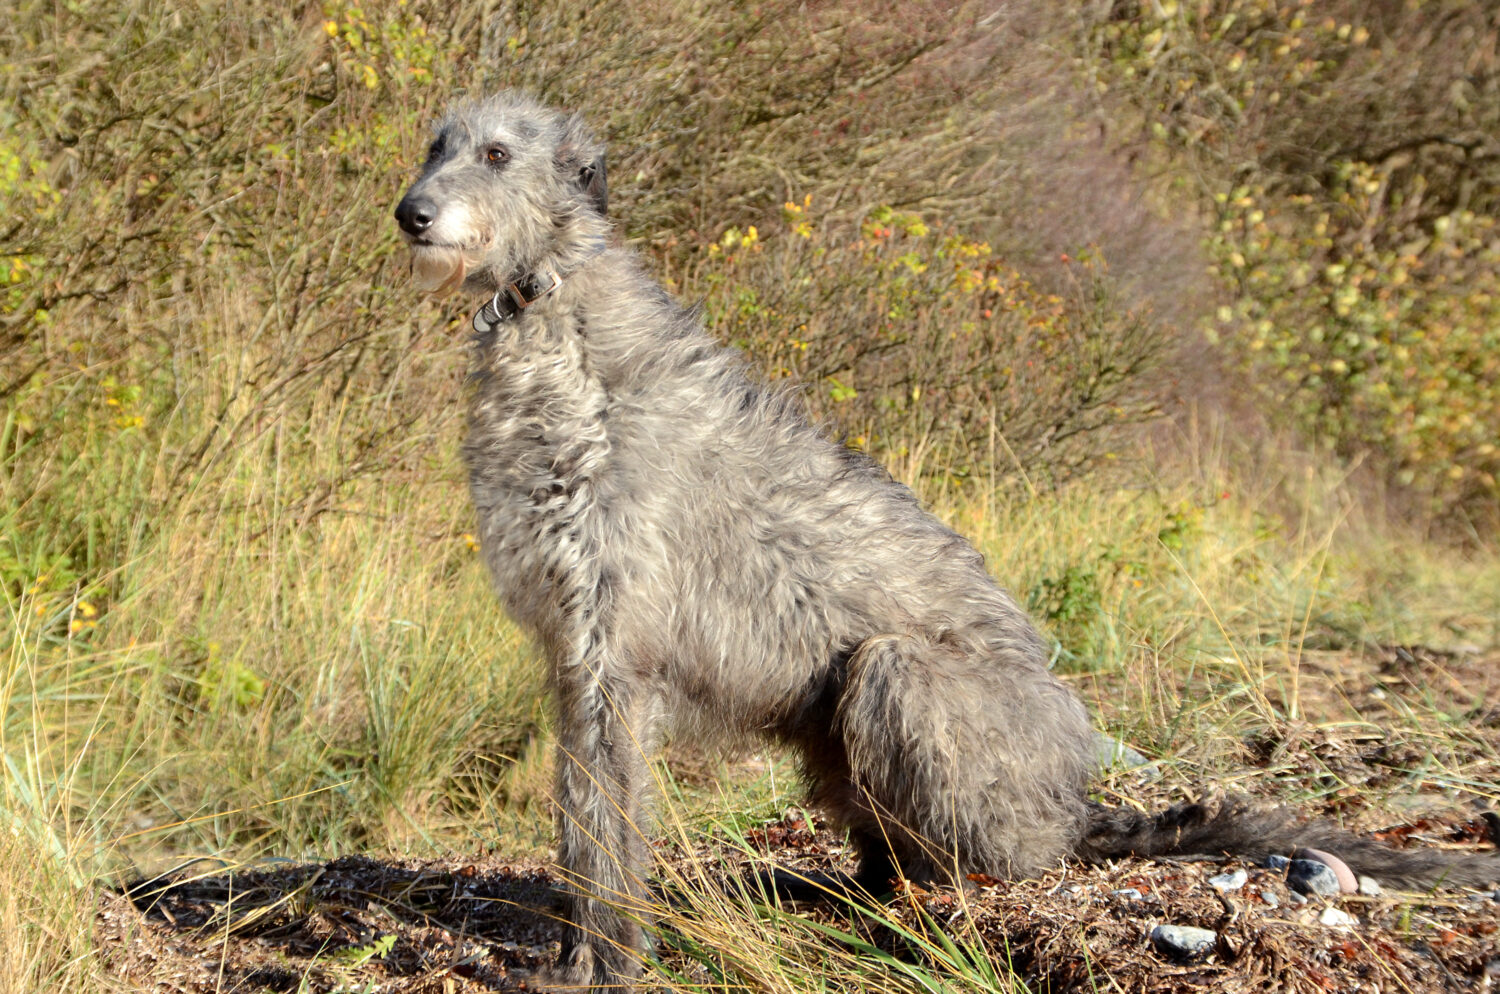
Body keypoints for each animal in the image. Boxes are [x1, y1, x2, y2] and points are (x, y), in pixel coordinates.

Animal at [399, 91, 1500, 989]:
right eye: (435, 144)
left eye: (496, 153)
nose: (410, 213)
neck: (563, 332)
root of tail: (1072, 799)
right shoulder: (574, 661)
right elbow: (580, 823)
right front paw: (578, 953)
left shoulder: (614, 660)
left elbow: (608, 832)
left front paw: (607, 963)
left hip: (901, 679)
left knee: (982, 851)